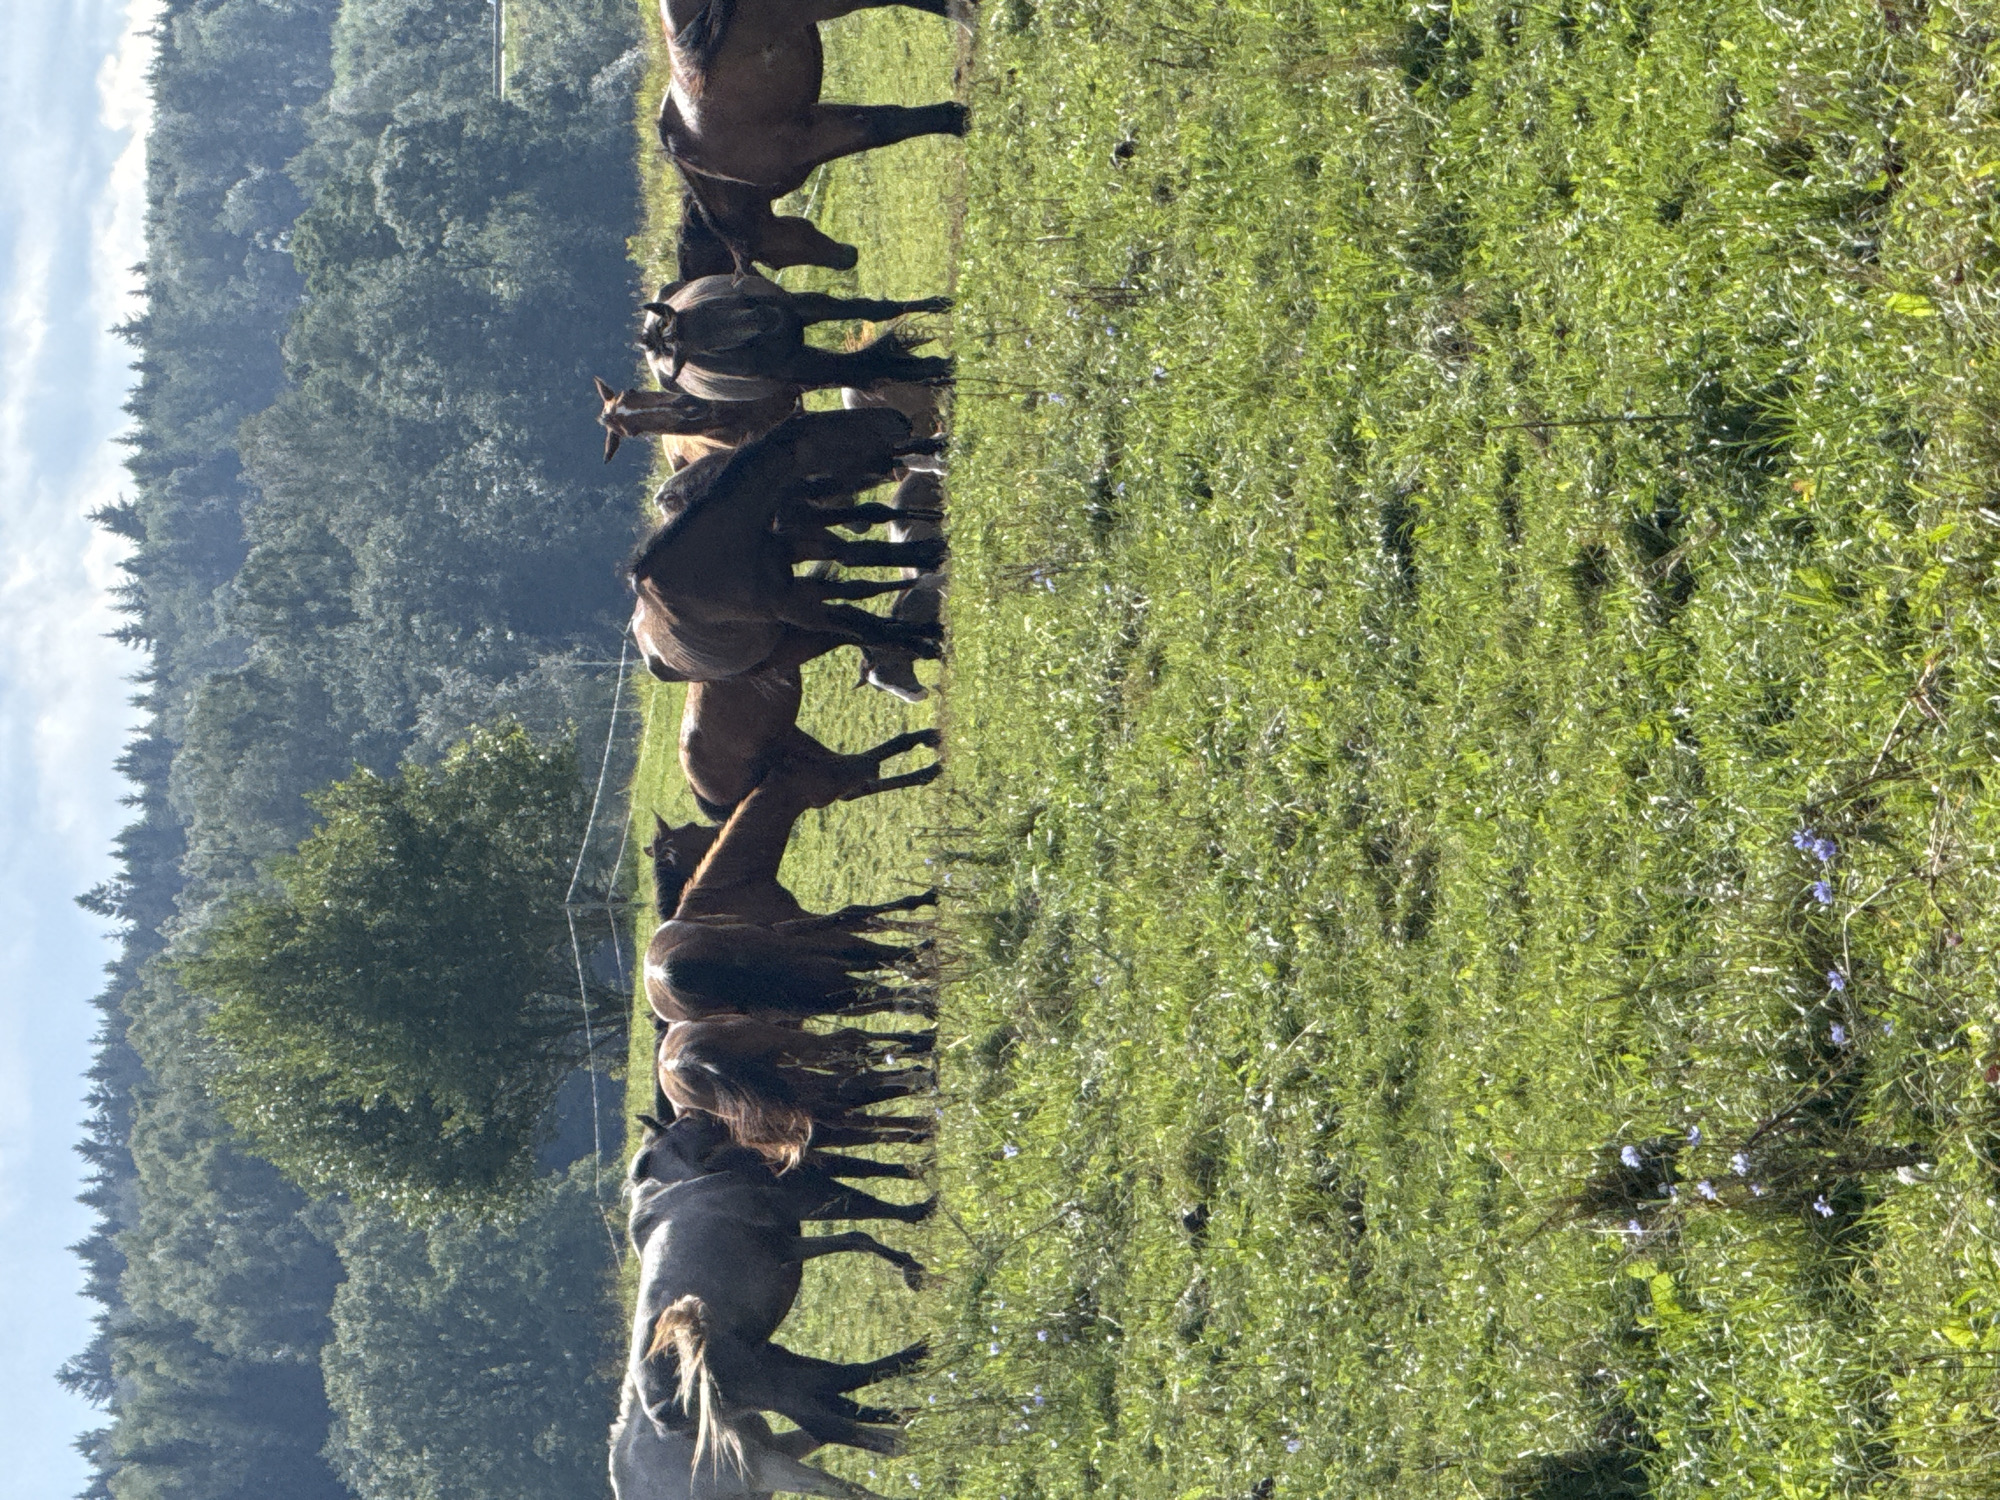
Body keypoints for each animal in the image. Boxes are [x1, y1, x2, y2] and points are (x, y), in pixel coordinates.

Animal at [628, 410, 946, 684]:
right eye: (825, 426)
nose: (899, 418)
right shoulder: (793, 604)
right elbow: (863, 620)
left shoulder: (802, 547)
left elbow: (866, 550)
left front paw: (934, 550)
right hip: (794, 636)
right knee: (856, 628)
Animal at [639, 276, 952, 403]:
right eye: (709, 349)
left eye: (709, 310)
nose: (769, 319)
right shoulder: (806, 364)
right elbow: (878, 366)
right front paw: (944, 368)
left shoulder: (803, 307)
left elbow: (873, 310)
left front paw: (940, 304)